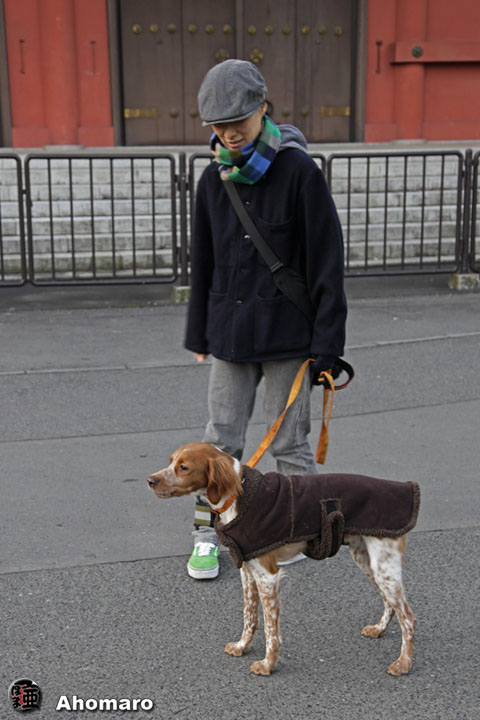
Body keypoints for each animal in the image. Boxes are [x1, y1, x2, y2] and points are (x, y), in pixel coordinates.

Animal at [147, 442, 420, 677]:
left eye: (183, 467)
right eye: (171, 461)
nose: (150, 480)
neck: (237, 497)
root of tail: (406, 487)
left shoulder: (268, 576)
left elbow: (271, 630)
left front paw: (268, 665)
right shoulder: (248, 571)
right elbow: (250, 616)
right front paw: (242, 646)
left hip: (383, 566)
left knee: (408, 617)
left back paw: (403, 663)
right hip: (367, 560)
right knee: (390, 603)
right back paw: (380, 630)